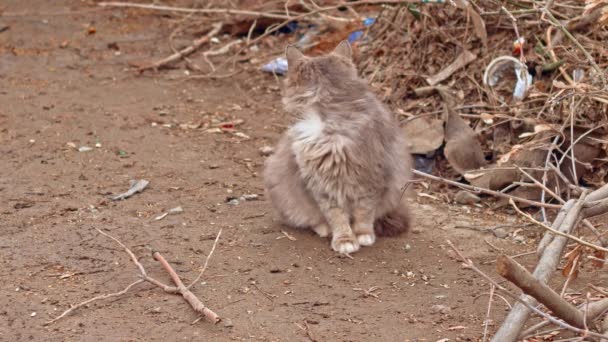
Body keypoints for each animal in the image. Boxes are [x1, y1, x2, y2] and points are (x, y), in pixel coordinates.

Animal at [262, 40, 414, 254]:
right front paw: (344, 240)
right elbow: (337, 216)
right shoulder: (322, 184)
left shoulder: (371, 179)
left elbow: (364, 213)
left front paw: (363, 235)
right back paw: (324, 228)